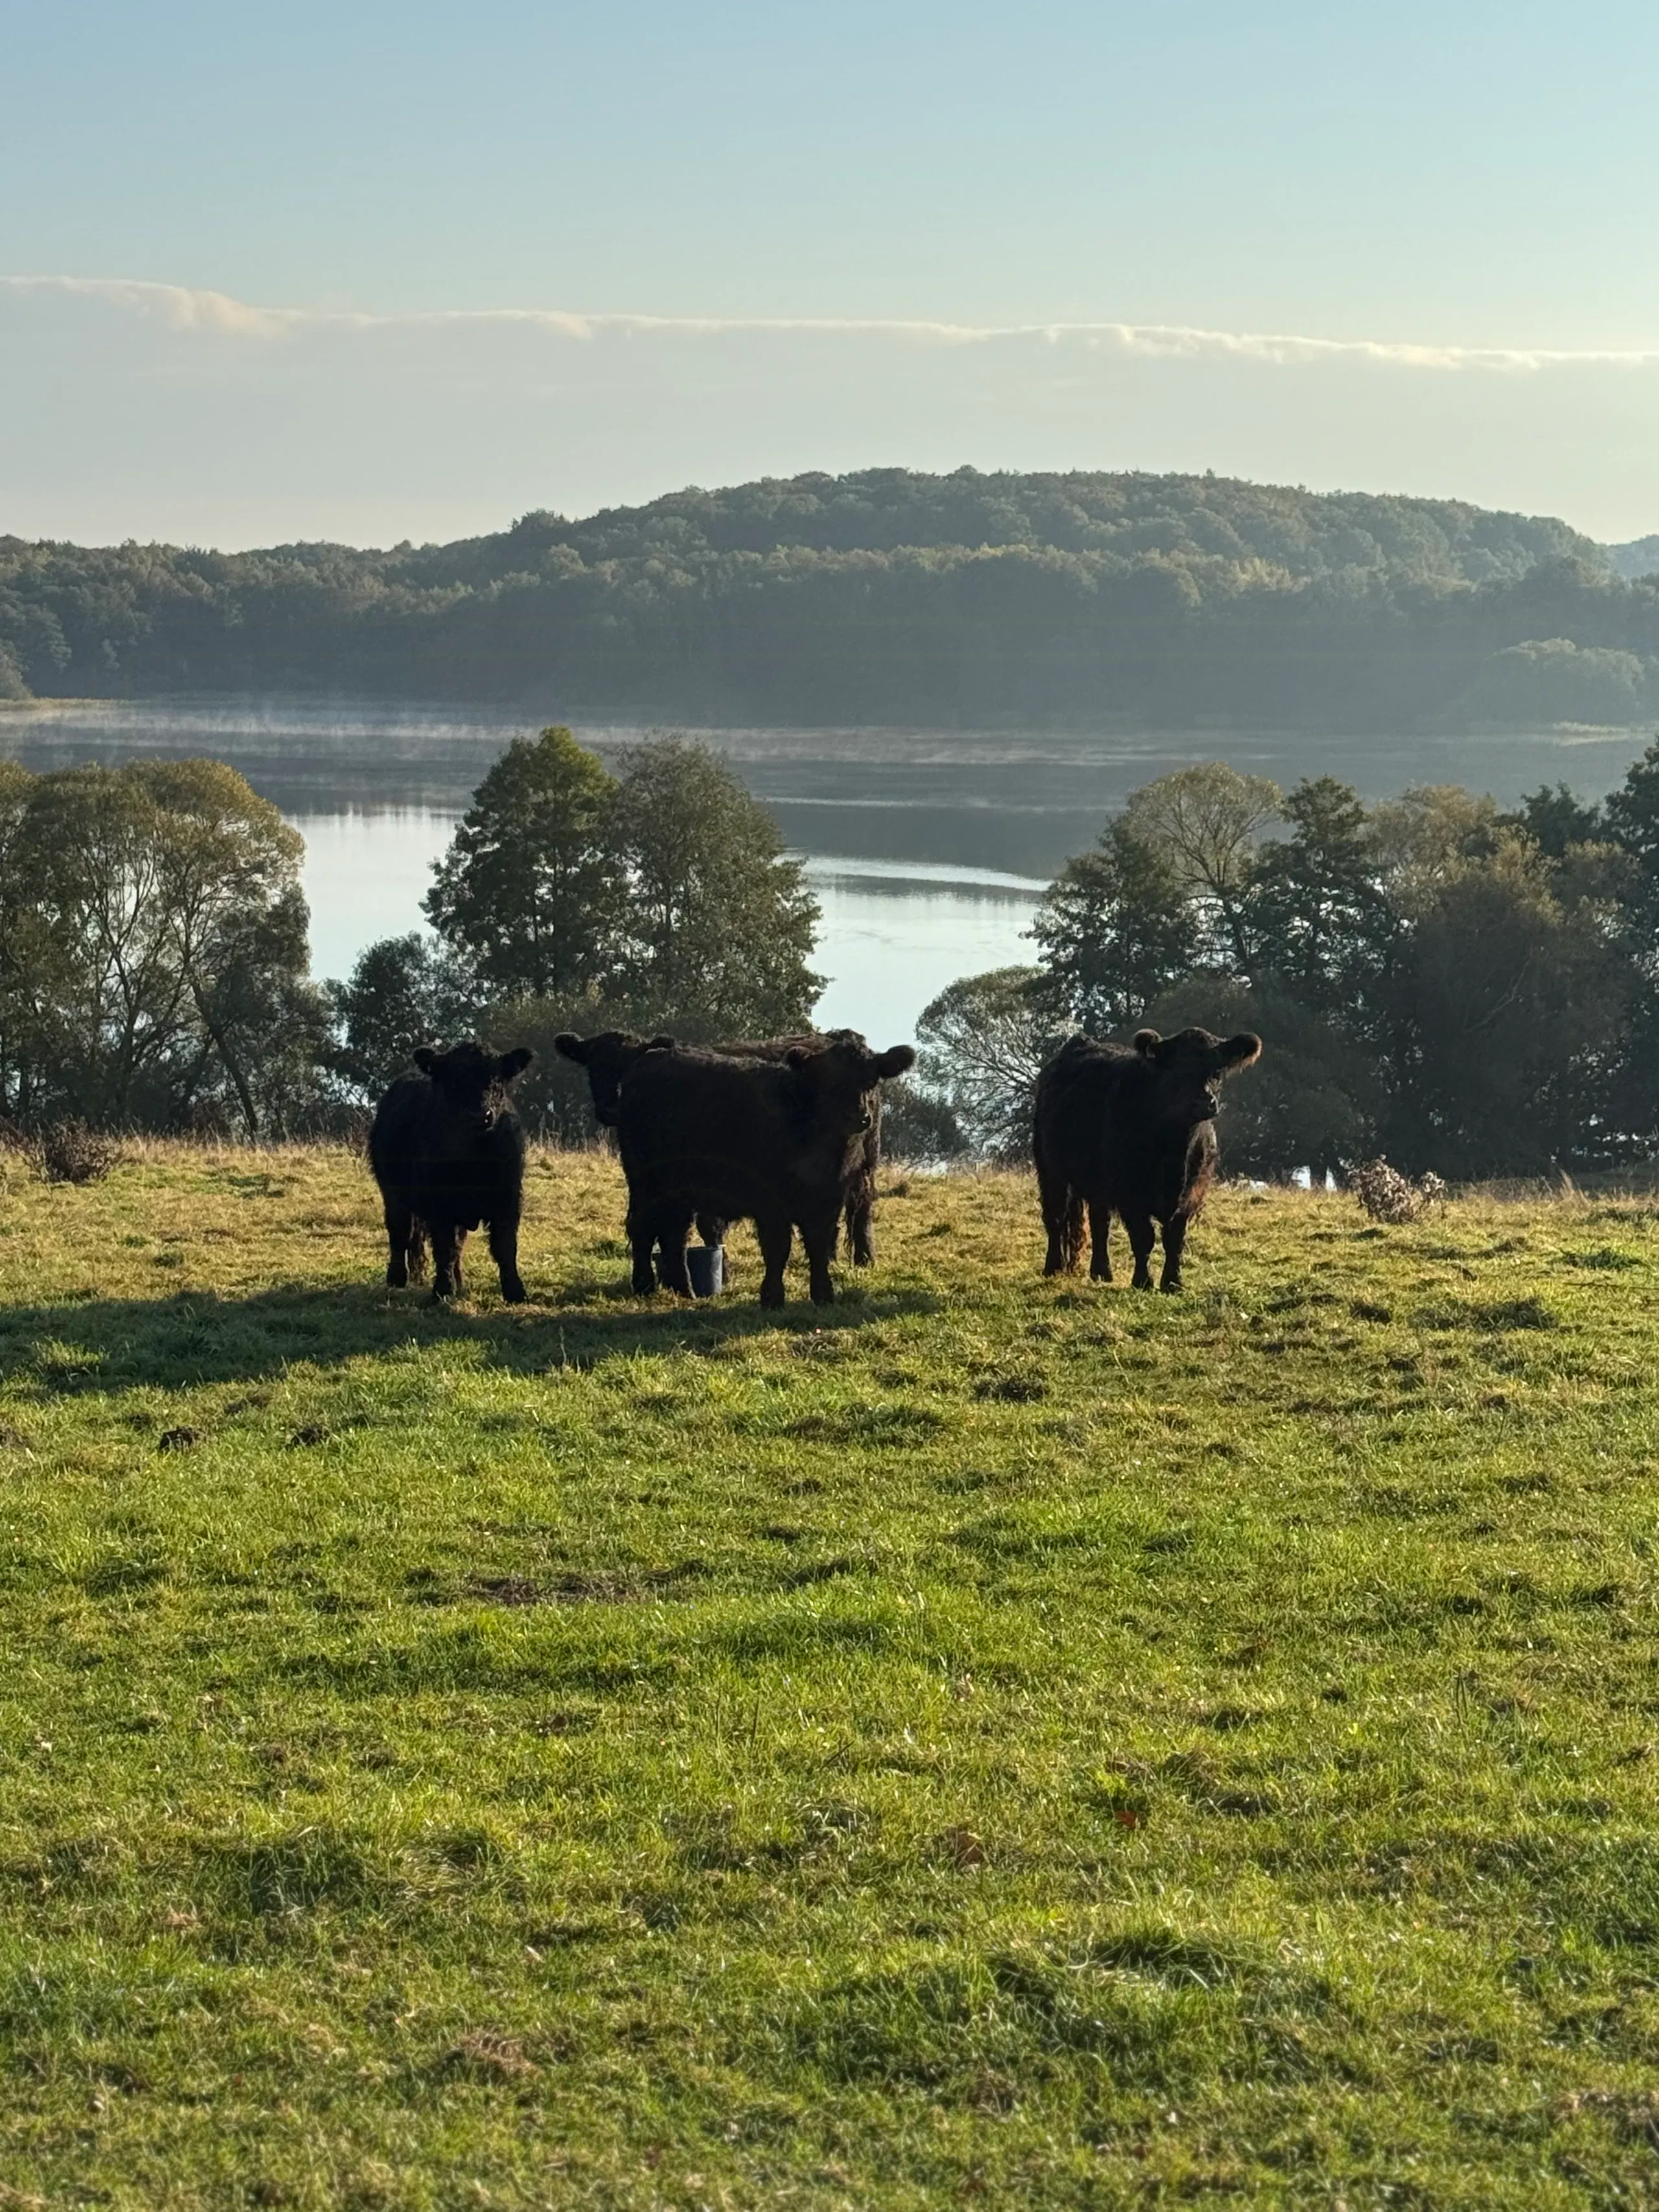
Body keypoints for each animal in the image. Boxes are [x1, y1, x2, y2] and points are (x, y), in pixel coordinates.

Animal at [368, 1041, 535, 1303]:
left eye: (497, 1080)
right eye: (454, 1081)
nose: (480, 1116)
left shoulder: (508, 1199)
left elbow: (504, 1246)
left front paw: (515, 1291)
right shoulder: (439, 1204)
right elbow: (444, 1247)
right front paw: (443, 1291)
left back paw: (459, 1281)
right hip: (392, 1193)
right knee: (400, 1231)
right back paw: (397, 1278)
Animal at [554, 1026, 885, 1265]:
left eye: (628, 1066)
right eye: (594, 1068)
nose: (611, 1108)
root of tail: (838, 1035)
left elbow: (708, 1227)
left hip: (865, 1161)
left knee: (861, 1207)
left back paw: (864, 1258)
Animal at [613, 1034, 915, 1305]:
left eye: (872, 1079)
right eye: (831, 1083)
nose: (860, 1117)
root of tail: (650, 1058)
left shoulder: (828, 1198)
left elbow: (819, 1245)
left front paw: (824, 1295)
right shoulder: (771, 1200)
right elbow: (777, 1248)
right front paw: (772, 1298)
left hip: (680, 1188)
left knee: (674, 1233)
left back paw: (685, 1290)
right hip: (644, 1179)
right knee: (643, 1227)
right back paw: (644, 1285)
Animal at [1033, 1026, 1262, 1292]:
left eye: (1216, 1072)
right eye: (1175, 1070)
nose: (1202, 1102)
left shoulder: (1193, 1191)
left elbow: (1175, 1238)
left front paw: (1173, 1282)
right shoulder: (1131, 1193)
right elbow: (1143, 1237)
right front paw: (1142, 1281)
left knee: (1100, 1222)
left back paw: (1102, 1272)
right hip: (1049, 1167)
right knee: (1056, 1217)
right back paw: (1053, 1267)